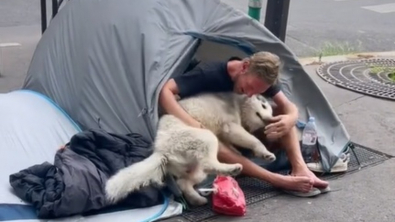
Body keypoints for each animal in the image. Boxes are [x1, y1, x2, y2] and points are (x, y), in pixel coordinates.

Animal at [105, 92, 276, 206]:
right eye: (263, 105)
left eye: (270, 110)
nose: (270, 120)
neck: (239, 103)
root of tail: (160, 150)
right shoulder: (230, 127)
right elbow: (253, 140)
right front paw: (265, 153)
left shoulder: (224, 136)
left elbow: (231, 146)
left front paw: (240, 152)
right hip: (205, 137)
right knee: (208, 164)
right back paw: (232, 168)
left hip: (195, 167)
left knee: (184, 183)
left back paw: (197, 199)